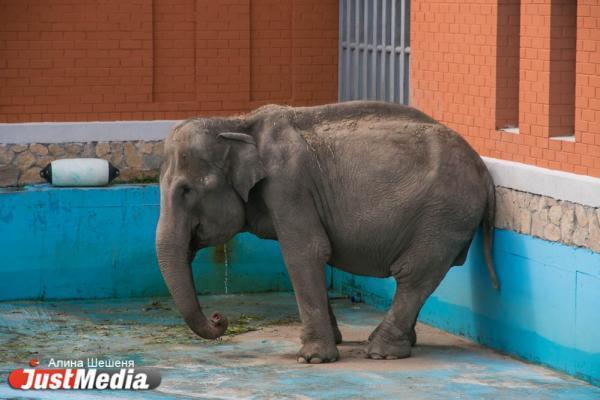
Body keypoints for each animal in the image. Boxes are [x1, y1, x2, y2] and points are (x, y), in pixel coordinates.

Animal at [155, 100, 496, 362]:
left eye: (185, 190)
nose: (219, 318)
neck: (238, 122)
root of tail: (483, 169)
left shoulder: (289, 187)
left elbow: (306, 253)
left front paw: (313, 358)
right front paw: (333, 341)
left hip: (443, 215)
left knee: (413, 273)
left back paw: (381, 351)